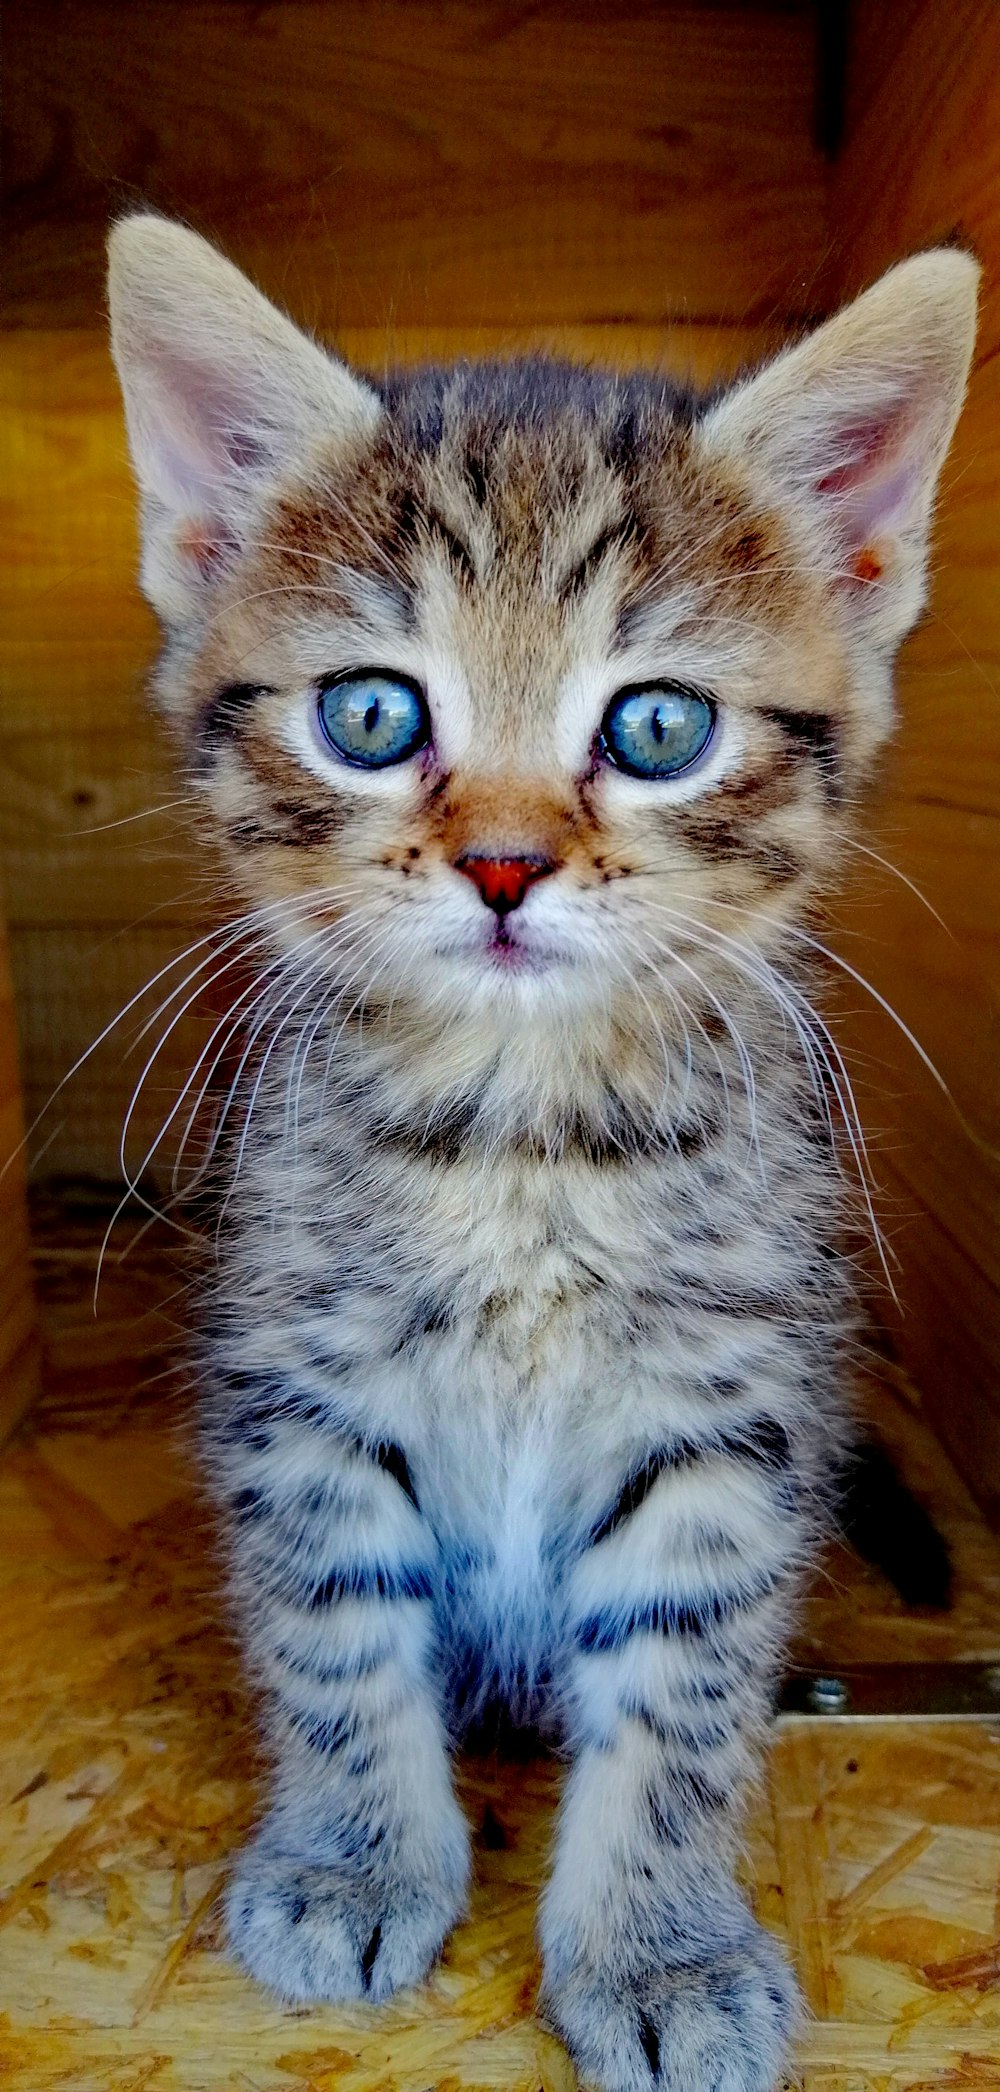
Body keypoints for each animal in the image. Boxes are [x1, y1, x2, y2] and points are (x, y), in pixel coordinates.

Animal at [109, 216, 974, 2092]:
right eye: (372, 715)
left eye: (657, 729)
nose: (504, 864)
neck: (523, 1139)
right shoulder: (297, 1380)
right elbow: (332, 1630)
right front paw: (354, 1857)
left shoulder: (734, 1410)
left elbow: (686, 1696)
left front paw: (660, 1948)